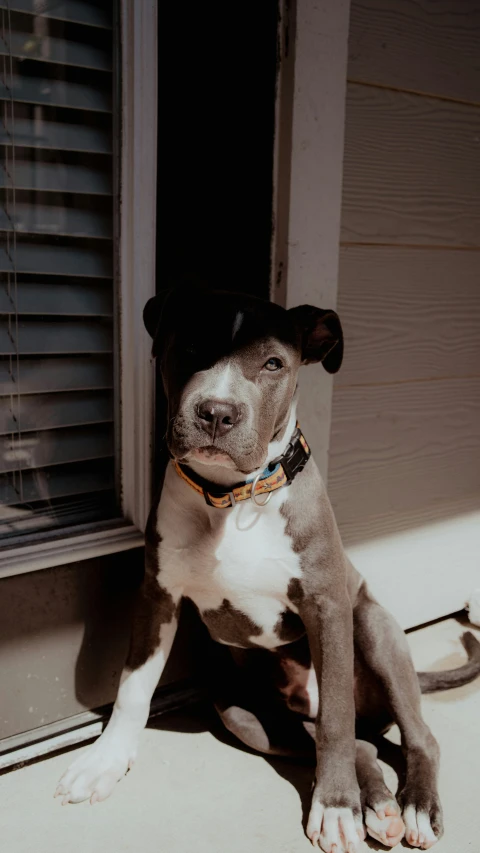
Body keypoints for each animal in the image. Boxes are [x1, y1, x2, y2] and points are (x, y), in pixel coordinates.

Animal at [56, 288, 480, 852]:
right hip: (245, 716)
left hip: (373, 626)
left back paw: (410, 806)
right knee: (361, 747)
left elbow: (337, 721)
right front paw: (104, 762)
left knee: (403, 734)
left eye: (273, 363)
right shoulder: (157, 594)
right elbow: (132, 688)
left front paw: (335, 806)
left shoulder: (327, 605)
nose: (216, 412)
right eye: (190, 346)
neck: (232, 497)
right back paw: (378, 806)